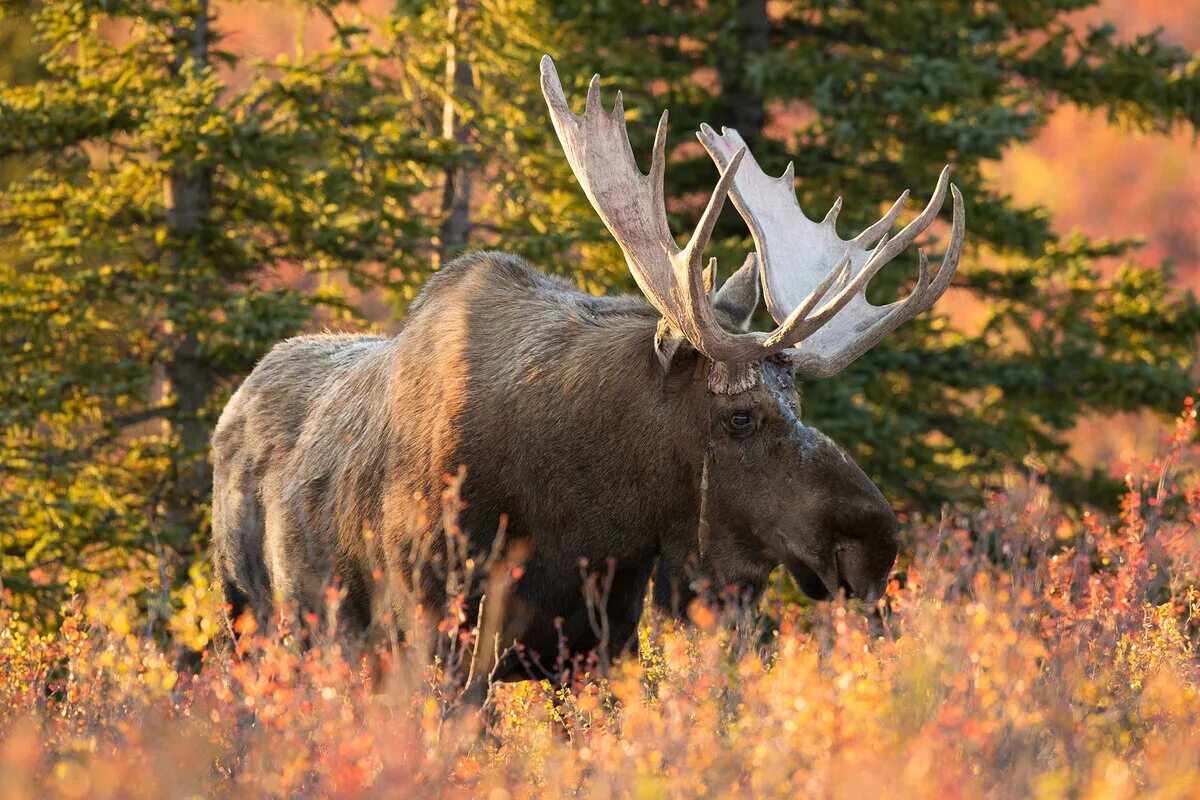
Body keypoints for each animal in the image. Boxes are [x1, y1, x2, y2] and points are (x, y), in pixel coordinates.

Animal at [213, 59, 964, 690]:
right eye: (740, 415)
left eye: (800, 402)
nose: (876, 542)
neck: (587, 512)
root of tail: (234, 401)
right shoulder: (435, 624)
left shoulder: (601, 639)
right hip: (252, 616)